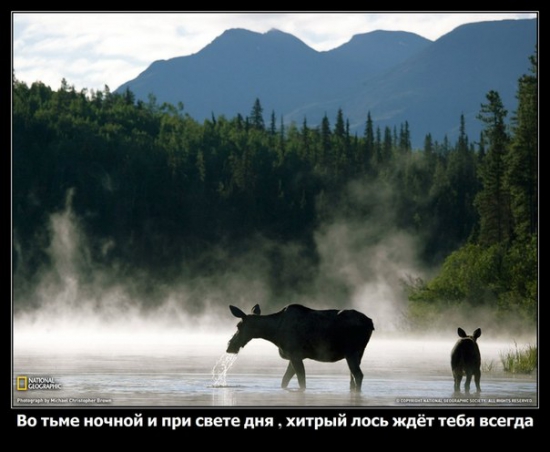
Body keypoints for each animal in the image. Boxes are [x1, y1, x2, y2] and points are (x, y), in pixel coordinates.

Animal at [227, 304, 376, 392]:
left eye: (238, 326)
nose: (230, 346)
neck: (274, 334)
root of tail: (370, 323)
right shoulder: (292, 357)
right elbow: (284, 381)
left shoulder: (295, 355)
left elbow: (301, 381)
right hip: (358, 353)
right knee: (352, 378)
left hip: (352, 352)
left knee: (358, 375)